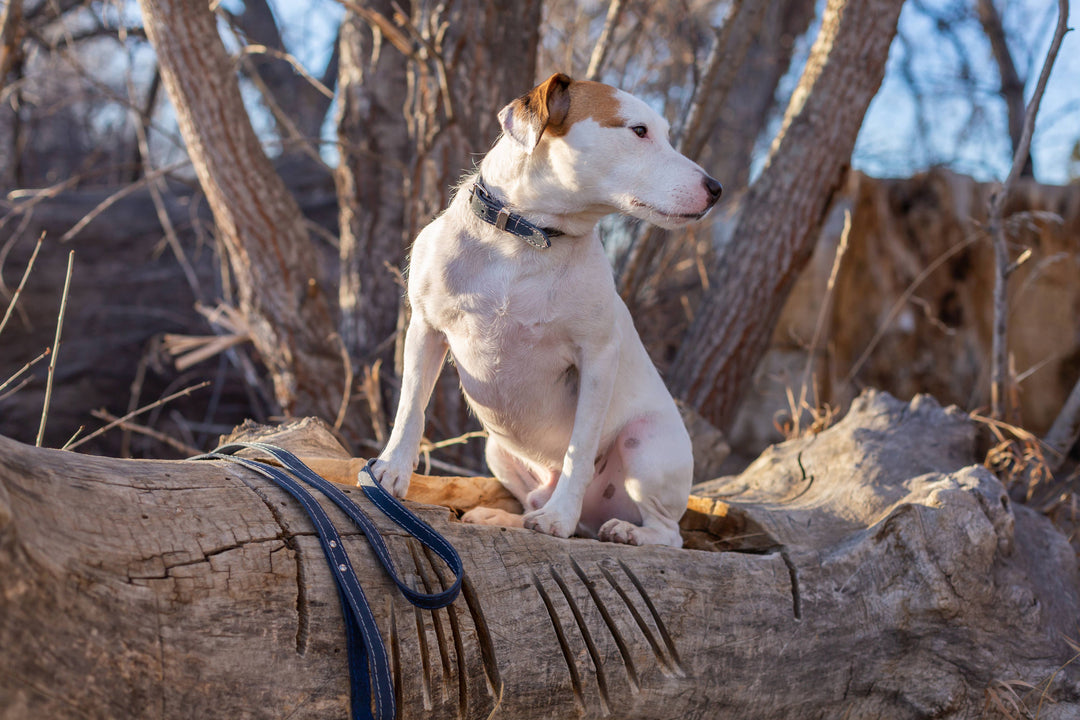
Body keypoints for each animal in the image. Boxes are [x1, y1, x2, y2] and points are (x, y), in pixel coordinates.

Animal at [367, 71, 721, 546]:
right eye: (639, 131)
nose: (716, 189)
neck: (526, 237)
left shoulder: (597, 358)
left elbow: (580, 450)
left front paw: (560, 518)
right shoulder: (426, 328)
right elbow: (410, 409)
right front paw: (391, 471)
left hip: (644, 444)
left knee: (668, 533)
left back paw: (624, 531)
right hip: (497, 450)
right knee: (532, 499)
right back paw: (502, 517)